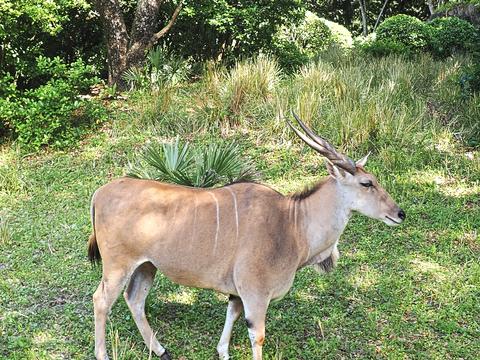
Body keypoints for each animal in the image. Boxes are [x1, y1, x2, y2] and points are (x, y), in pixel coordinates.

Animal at [87, 113, 404, 360]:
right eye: (367, 183)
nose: (399, 213)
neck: (292, 224)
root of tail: (100, 192)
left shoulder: (238, 291)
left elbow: (231, 314)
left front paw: (222, 351)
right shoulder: (256, 292)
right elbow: (257, 336)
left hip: (147, 265)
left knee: (135, 299)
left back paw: (162, 350)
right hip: (117, 265)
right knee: (101, 300)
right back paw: (103, 354)